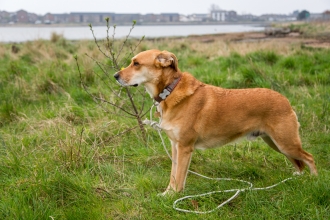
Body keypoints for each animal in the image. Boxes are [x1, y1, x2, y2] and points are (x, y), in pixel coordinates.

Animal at [113, 49, 318, 194]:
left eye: (136, 63)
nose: (115, 76)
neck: (170, 90)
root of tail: (285, 100)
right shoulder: (175, 146)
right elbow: (173, 175)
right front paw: (168, 194)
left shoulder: (185, 148)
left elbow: (179, 176)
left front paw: (175, 197)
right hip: (275, 143)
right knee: (299, 162)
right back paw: (298, 178)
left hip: (286, 143)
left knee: (309, 158)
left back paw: (315, 180)